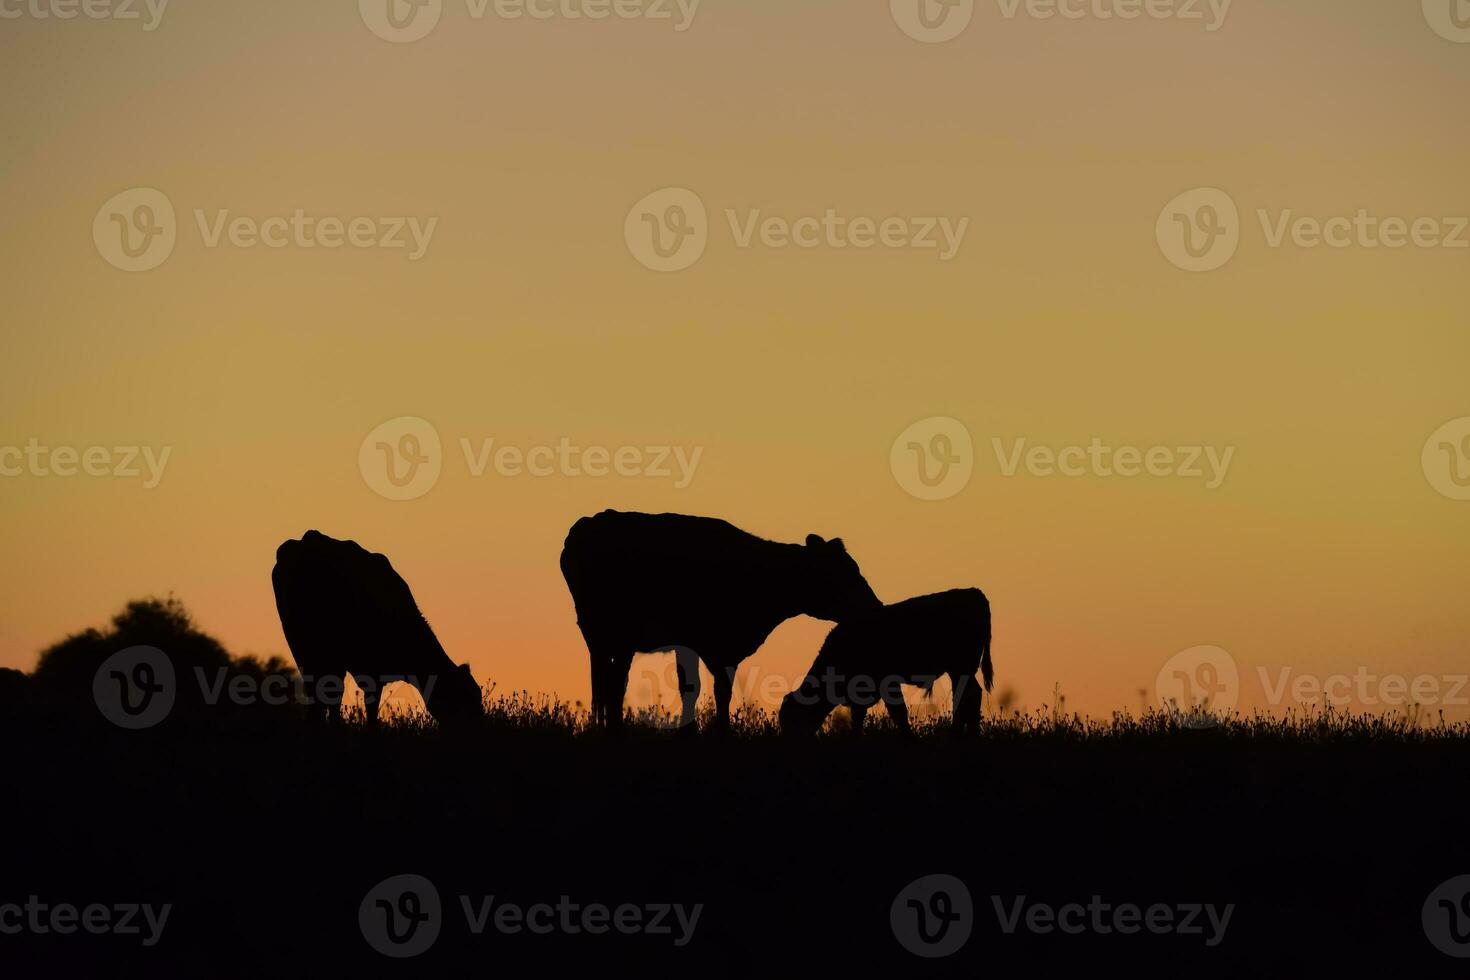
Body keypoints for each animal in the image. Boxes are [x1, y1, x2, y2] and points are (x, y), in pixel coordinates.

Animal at [270, 528, 482, 728]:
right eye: (464, 698)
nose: (479, 724)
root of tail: (308, 540)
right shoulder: (372, 671)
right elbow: (370, 710)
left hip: (302, 645)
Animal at [558, 514, 882, 728]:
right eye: (843, 573)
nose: (875, 605)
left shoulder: (715, 647)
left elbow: (704, 689)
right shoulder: (706, 643)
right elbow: (705, 688)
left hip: (606, 638)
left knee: (606, 681)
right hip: (611, 633)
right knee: (611, 683)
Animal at [776, 590, 993, 734]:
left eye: (791, 720)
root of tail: (974, 592)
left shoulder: (885, 684)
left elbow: (898, 713)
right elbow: (860, 717)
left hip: (960, 668)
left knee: (967, 696)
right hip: (961, 670)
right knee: (968, 695)